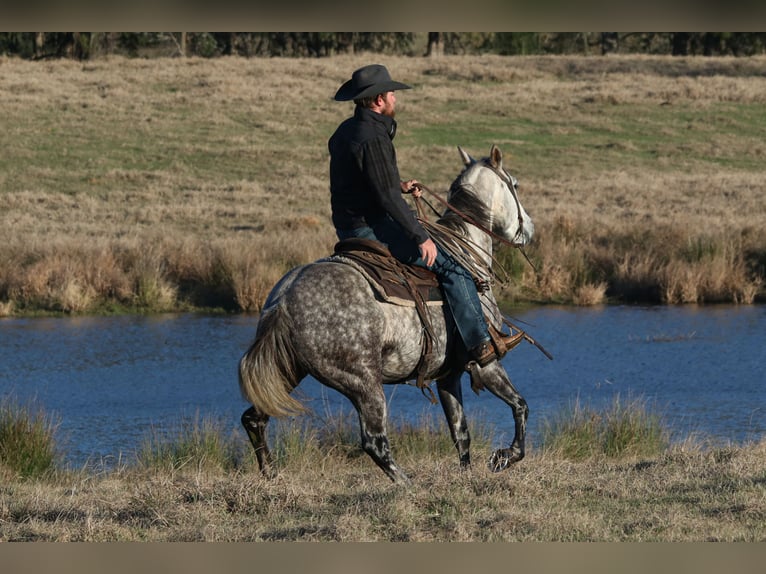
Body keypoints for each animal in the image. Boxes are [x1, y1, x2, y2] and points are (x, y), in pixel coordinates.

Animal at [238, 144, 536, 486]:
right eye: (515, 184)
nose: (529, 229)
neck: (467, 254)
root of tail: (284, 299)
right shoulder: (485, 362)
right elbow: (520, 405)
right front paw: (505, 457)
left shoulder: (448, 375)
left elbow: (461, 433)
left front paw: (466, 476)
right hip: (364, 383)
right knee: (375, 442)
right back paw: (408, 485)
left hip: (288, 369)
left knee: (254, 418)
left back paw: (270, 475)